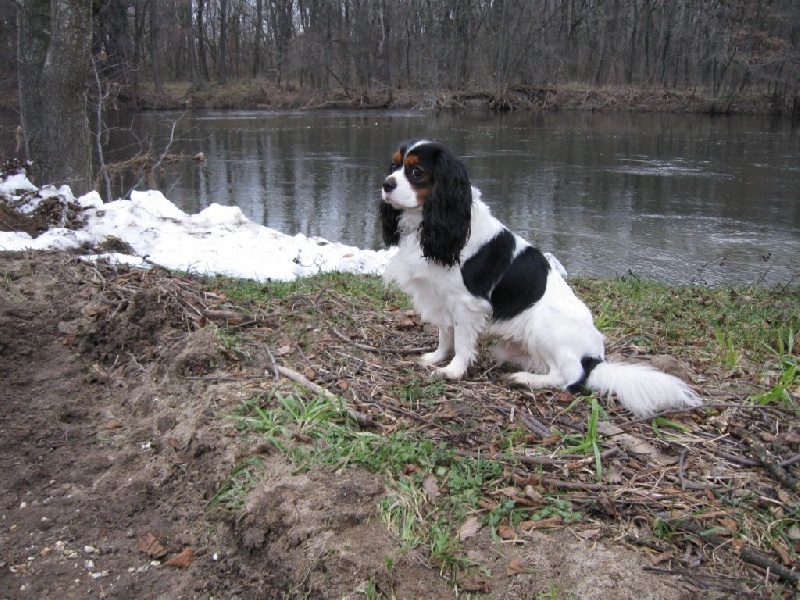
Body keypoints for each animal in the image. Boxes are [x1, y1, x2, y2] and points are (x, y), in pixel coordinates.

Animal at [382, 139, 700, 418]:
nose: (386, 184)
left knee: (568, 377)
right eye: (394, 166)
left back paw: (527, 380)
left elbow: (461, 341)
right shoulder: (443, 299)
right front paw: (436, 357)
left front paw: (453, 371)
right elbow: (445, 334)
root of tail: (594, 359)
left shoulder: (467, 304)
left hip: (544, 325)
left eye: (416, 172)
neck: (432, 221)